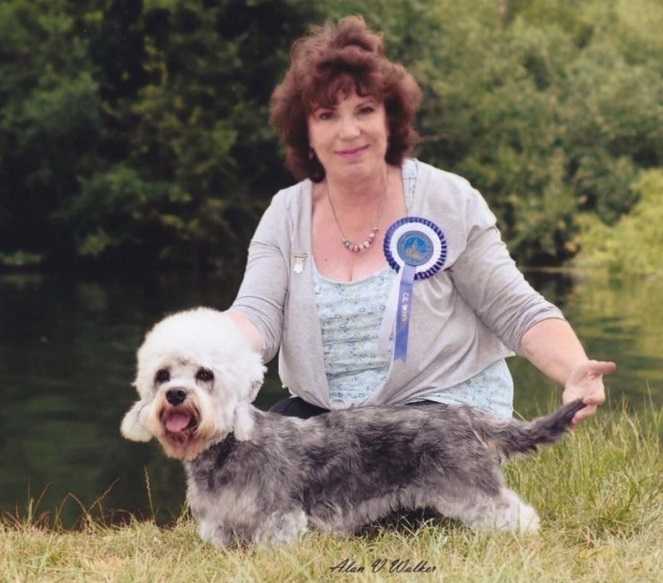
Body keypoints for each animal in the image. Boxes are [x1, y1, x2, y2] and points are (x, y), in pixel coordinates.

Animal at [120, 310, 588, 548]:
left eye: (204, 375)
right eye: (163, 375)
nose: (175, 395)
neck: (228, 447)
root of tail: (464, 416)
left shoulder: (280, 517)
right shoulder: (221, 522)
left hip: (471, 487)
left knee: (513, 511)